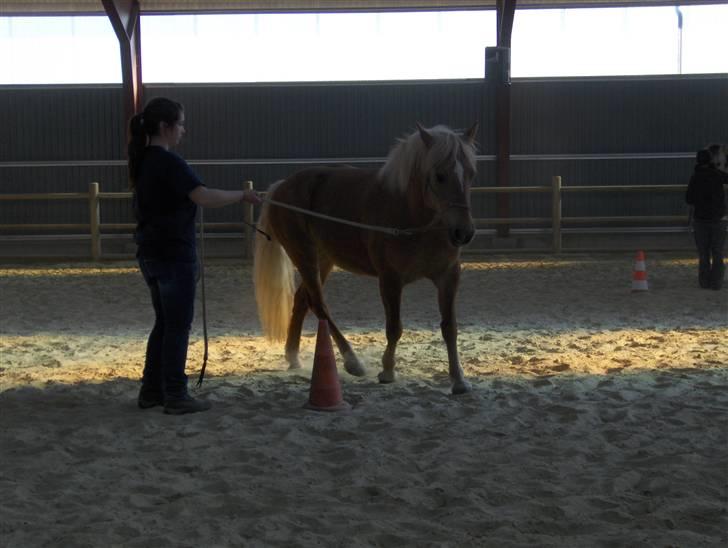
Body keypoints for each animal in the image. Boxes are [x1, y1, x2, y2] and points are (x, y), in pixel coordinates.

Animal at [255, 123, 478, 394]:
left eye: (471, 174)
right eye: (439, 175)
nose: (463, 232)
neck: (411, 215)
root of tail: (281, 186)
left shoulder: (448, 276)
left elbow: (450, 328)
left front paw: (458, 379)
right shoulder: (390, 279)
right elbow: (394, 327)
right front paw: (388, 371)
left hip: (323, 259)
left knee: (302, 300)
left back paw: (293, 356)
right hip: (303, 255)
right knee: (319, 304)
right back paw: (353, 362)